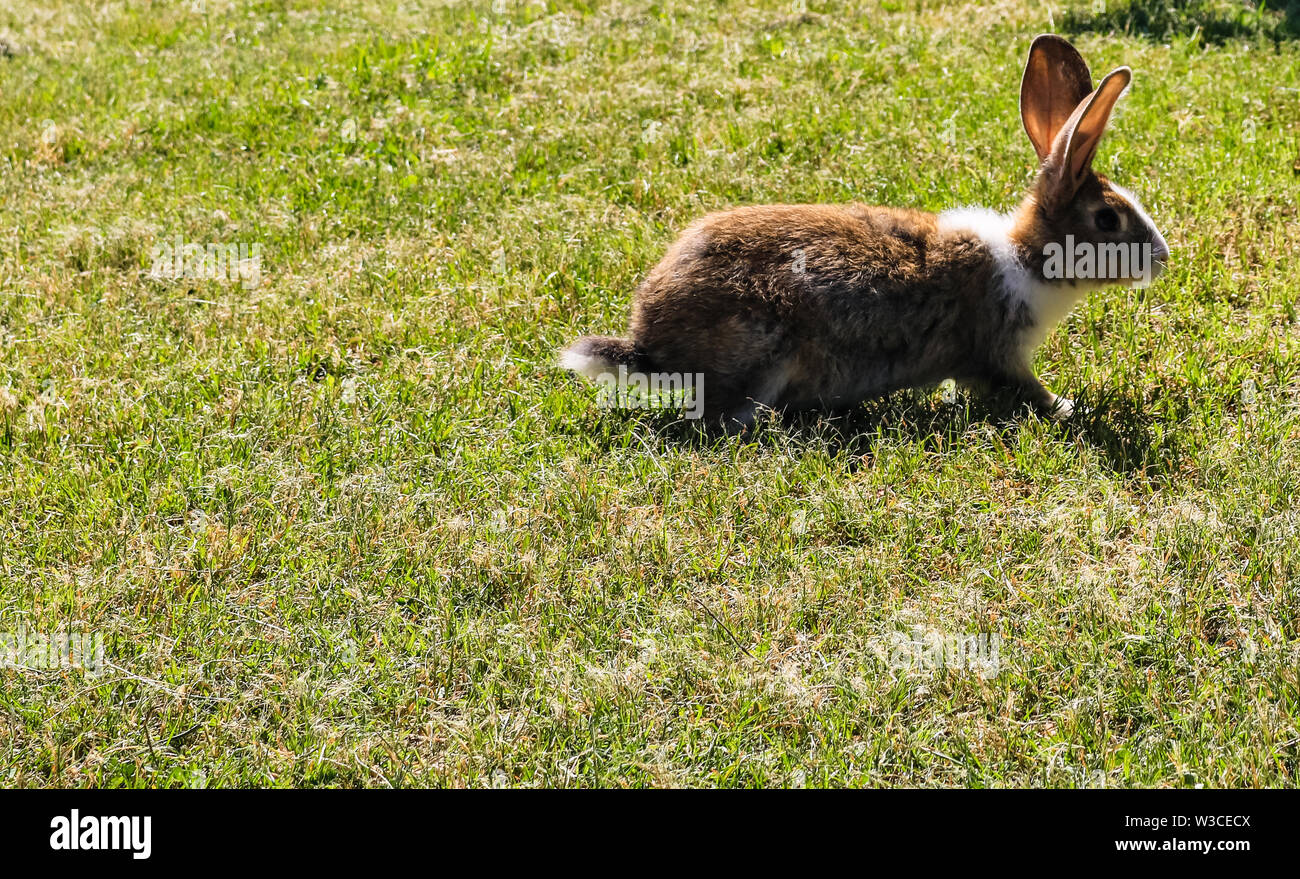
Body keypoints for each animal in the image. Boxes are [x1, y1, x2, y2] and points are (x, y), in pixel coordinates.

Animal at [560, 35, 1169, 429]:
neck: (1027, 257)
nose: (1162, 258)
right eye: (1108, 219)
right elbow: (1021, 389)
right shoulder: (998, 353)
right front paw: (1066, 408)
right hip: (763, 350)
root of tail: (649, 345)